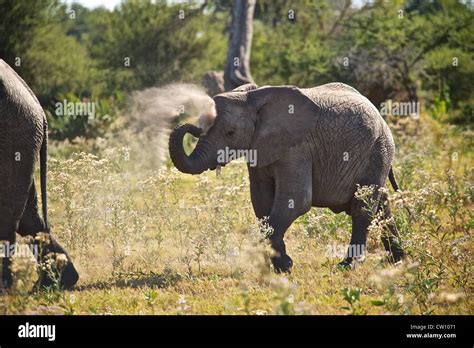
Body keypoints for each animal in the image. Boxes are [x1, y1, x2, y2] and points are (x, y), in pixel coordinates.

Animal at [168, 81, 406, 272]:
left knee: (362, 206)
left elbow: (296, 200)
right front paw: (280, 265)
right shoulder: (259, 148)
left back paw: (348, 266)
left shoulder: (298, 148)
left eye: (230, 133)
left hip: (378, 150)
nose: (193, 127)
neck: (253, 99)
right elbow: (262, 203)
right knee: (381, 205)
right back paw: (398, 259)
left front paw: (285, 267)